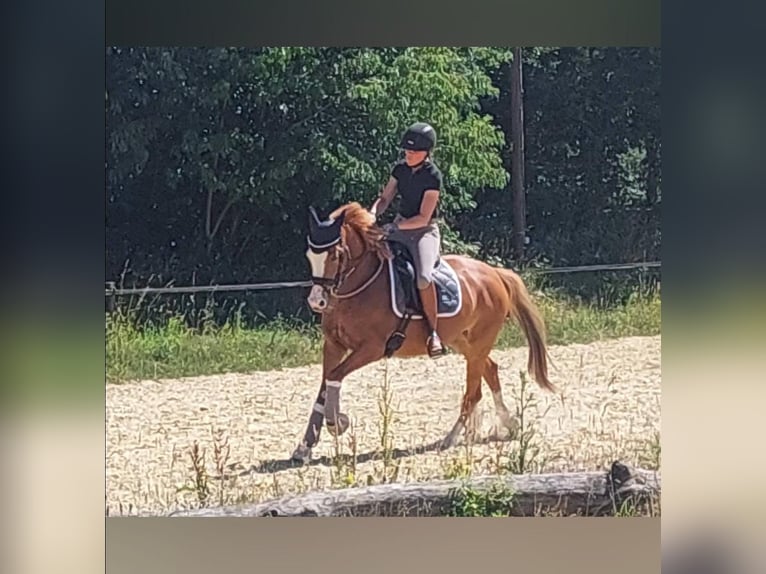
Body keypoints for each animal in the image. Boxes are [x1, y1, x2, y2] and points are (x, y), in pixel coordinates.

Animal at [294, 202, 560, 464]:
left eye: (335, 255)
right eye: (309, 255)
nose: (317, 302)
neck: (358, 289)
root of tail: (495, 273)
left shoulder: (371, 349)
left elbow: (334, 377)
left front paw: (337, 423)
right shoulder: (333, 345)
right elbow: (324, 388)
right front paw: (305, 447)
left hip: (480, 341)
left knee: (472, 392)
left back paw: (451, 438)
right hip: (463, 341)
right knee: (489, 373)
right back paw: (509, 424)